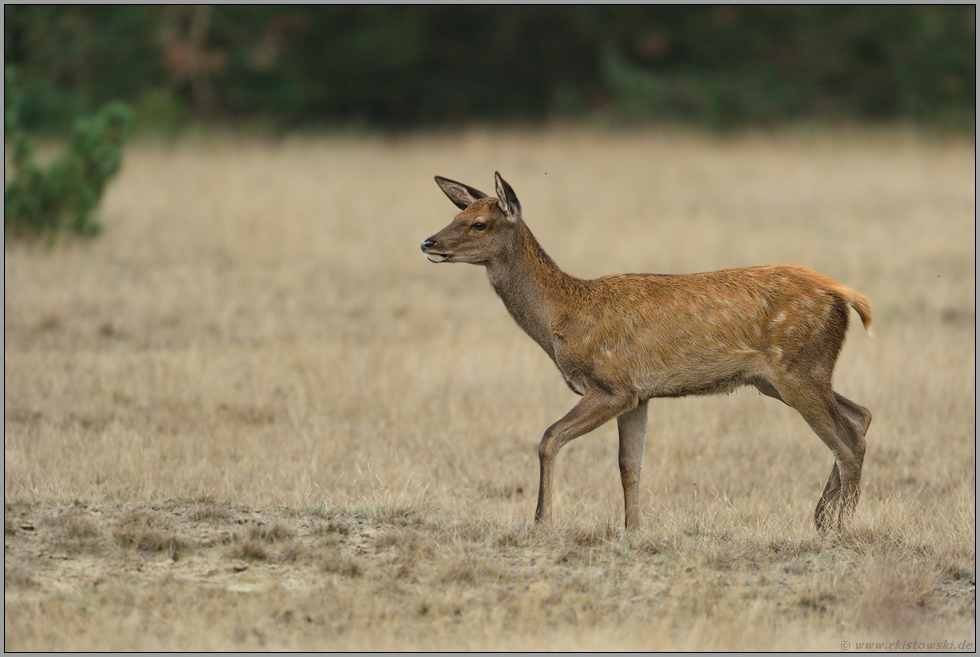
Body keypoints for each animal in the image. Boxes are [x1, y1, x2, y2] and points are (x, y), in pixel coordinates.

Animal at [422, 172, 872, 532]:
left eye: (478, 223)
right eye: (456, 215)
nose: (428, 242)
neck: (563, 318)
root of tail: (846, 295)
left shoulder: (611, 385)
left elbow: (549, 438)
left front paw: (541, 520)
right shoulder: (639, 395)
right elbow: (629, 465)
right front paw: (634, 529)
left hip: (798, 369)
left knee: (847, 441)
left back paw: (841, 526)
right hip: (780, 378)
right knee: (860, 416)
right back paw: (821, 518)